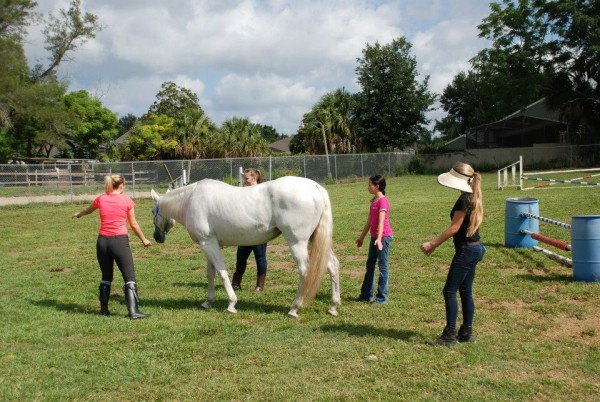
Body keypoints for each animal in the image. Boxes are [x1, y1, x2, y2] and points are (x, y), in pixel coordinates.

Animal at [151, 176, 342, 318]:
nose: (157, 237)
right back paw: (333, 306)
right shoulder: (208, 245)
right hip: (315, 241)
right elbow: (210, 274)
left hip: (297, 242)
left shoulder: (209, 244)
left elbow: (222, 273)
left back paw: (295, 308)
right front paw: (208, 302)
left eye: (153, 211)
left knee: (305, 271)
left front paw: (231, 304)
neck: (191, 200)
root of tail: (315, 187)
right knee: (332, 265)